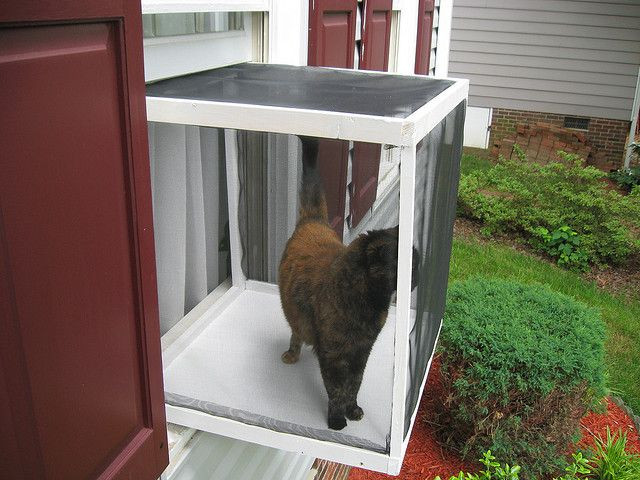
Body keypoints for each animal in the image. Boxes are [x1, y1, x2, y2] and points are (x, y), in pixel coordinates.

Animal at [278, 136, 418, 432]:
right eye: (404, 262)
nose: (417, 272)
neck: (371, 306)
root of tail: (314, 221)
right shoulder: (333, 355)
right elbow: (336, 388)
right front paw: (336, 419)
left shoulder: (362, 352)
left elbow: (354, 384)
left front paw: (352, 410)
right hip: (294, 313)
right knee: (296, 330)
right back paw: (292, 354)